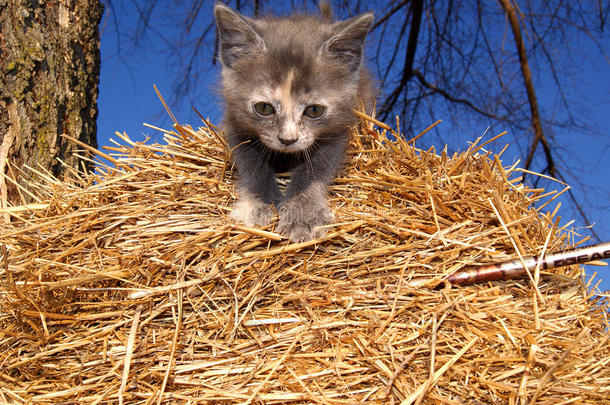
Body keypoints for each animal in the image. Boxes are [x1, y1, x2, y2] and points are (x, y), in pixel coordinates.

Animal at [214, 1, 376, 241]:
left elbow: (316, 169)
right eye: (264, 108)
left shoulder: (339, 129)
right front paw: (256, 205)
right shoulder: (236, 124)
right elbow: (251, 164)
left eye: (315, 110)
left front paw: (303, 214)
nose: (288, 139)